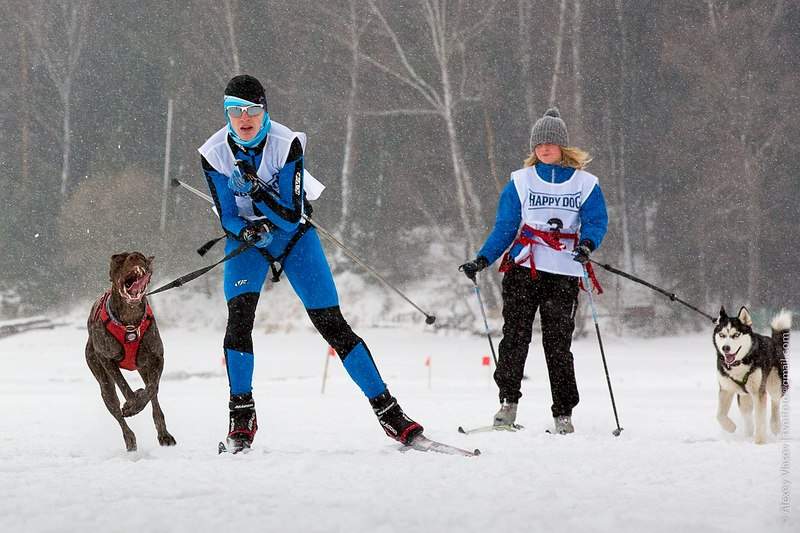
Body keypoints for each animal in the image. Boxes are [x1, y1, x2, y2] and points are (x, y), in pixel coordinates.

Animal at [86, 251, 175, 450]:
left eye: (141, 256)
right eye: (118, 259)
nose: (135, 256)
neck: (130, 320)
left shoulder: (157, 357)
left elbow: (152, 388)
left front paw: (138, 400)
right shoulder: (105, 358)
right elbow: (124, 385)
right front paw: (132, 404)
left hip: (144, 367)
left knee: (154, 397)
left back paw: (164, 434)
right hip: (102, 380)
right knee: (115, 408)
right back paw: (129, 439)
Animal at [716, 306, 792, 442]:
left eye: (736, 334)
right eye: (722, 335)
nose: (726, 348)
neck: (739, 364)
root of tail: (774, 342)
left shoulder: (759, 392)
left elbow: (760, 419)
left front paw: (760, 442)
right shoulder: (725, 389)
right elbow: (719, 415)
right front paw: (730, 427)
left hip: (775, 384)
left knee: (775, 401)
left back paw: (775, 425)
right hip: (744, 395)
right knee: (746, 412)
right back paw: (748, 431)